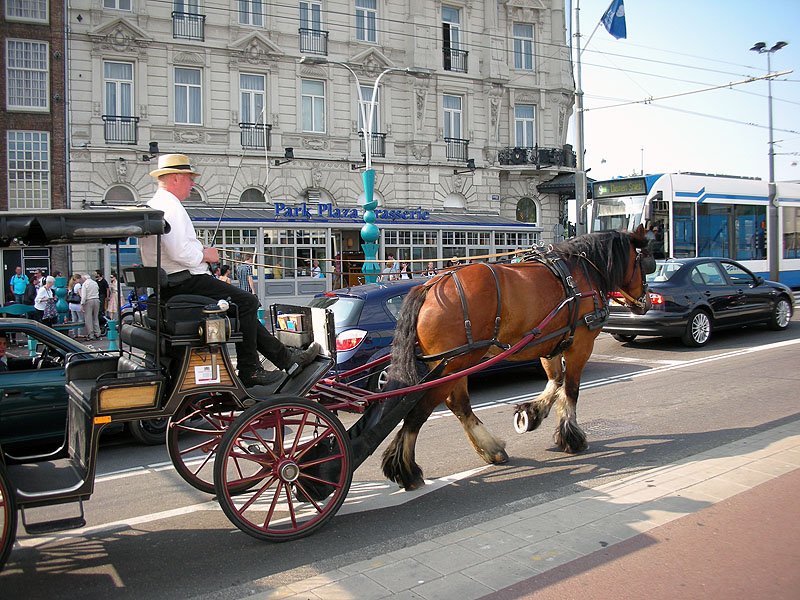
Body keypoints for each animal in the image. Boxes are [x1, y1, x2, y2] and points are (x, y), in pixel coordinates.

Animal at [381, 226, 654, 491]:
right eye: (644, 261)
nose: (647, 302)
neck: (581, 272)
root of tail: (429, 286)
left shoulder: (549, 344)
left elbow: (555, 382)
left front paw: (531, 413)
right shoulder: (580, 345)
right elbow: (570, 390)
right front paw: (571, 437)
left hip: (453, 364)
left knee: (459, 405)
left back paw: (491, 450)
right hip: (453, 365)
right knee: (418, 413)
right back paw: (406, 470)